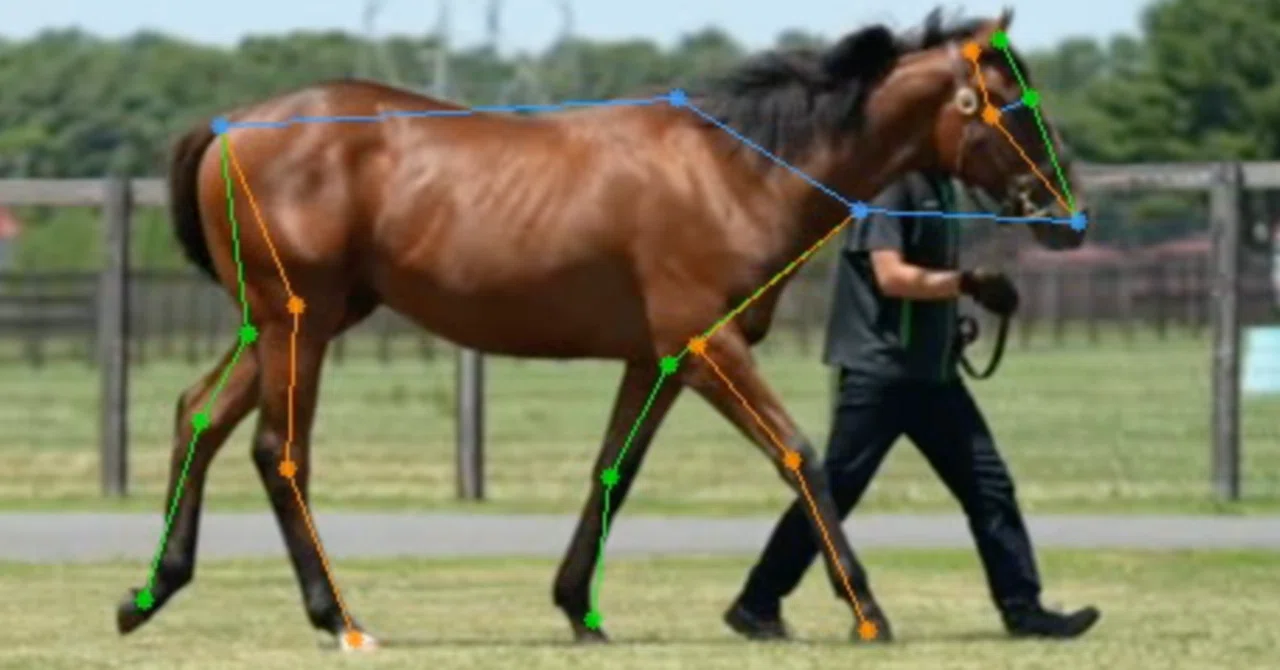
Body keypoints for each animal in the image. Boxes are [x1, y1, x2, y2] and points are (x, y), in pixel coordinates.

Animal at [115, 7, 1087, 649]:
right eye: (1012, 102)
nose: (1062, 212)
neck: (734, 172)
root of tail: (229, 130)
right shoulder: (707, 347)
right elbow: (800, 454)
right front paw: (867, 610)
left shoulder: (655, 360)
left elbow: (613, 469)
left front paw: (578, 606)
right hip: (301, 326)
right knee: (277, 450)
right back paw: (338, 617)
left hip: (283, 325)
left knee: (197, 415)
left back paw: (150, 593)